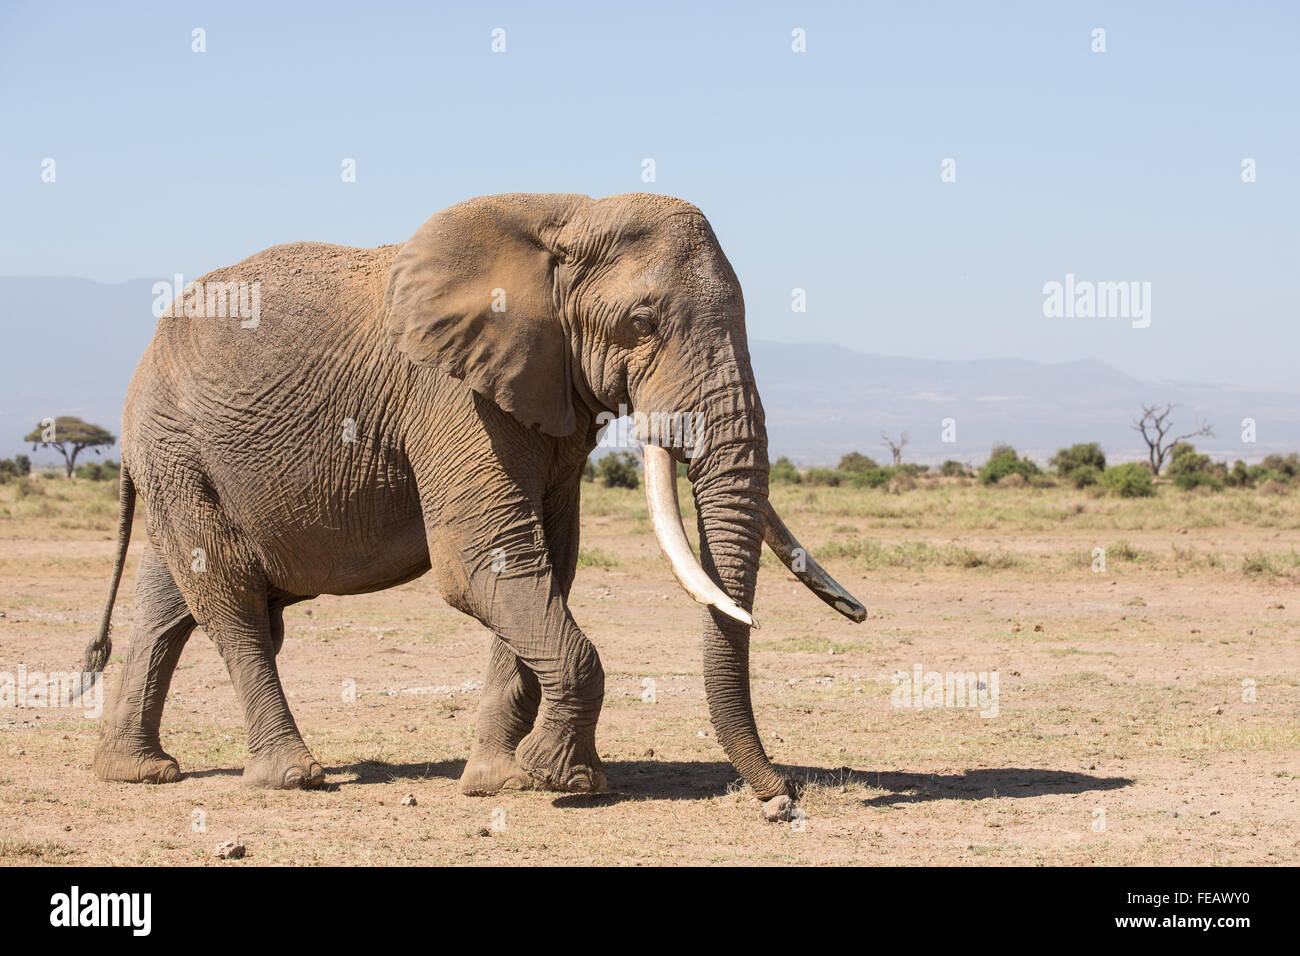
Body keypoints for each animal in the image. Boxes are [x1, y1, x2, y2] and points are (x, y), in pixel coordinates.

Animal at [81, 192, 863, 801]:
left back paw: (138, 772)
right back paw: (292, 776)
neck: (569, 216)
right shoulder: (453, 397)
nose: (781, 799)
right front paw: (563, 781)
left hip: (180, 459)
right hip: (176, 448)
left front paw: (500, 781)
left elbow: (546, 563)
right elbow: (482, 562)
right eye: (641, 324)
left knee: (170, 600)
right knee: (232, 604)